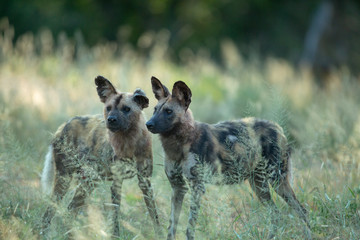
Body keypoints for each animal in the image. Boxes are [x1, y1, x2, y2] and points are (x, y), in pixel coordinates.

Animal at [40, 76, 160, 237]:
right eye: (108, 108)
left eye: (126, 109)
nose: (111, 119)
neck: (129, 142)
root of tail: (64, 125)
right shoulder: (117, 181)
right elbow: (115, 216)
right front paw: (115, 236)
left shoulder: (145, 181)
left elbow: (154, 215)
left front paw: (161, 234)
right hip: (66, 180)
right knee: (51, 209)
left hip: (89, 182)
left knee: (70, 210)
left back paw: (70, 234)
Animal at [146, 77, 312, 240]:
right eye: (155, 110)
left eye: (168, 111)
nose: (148, 124)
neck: (178, 145)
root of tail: (277, 127)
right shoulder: (178, 187)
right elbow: (171, 228)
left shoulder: (196, 187)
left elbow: (190, 229)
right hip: (258, 185)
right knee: (276, 214)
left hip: (276, 180)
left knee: (302, 211)